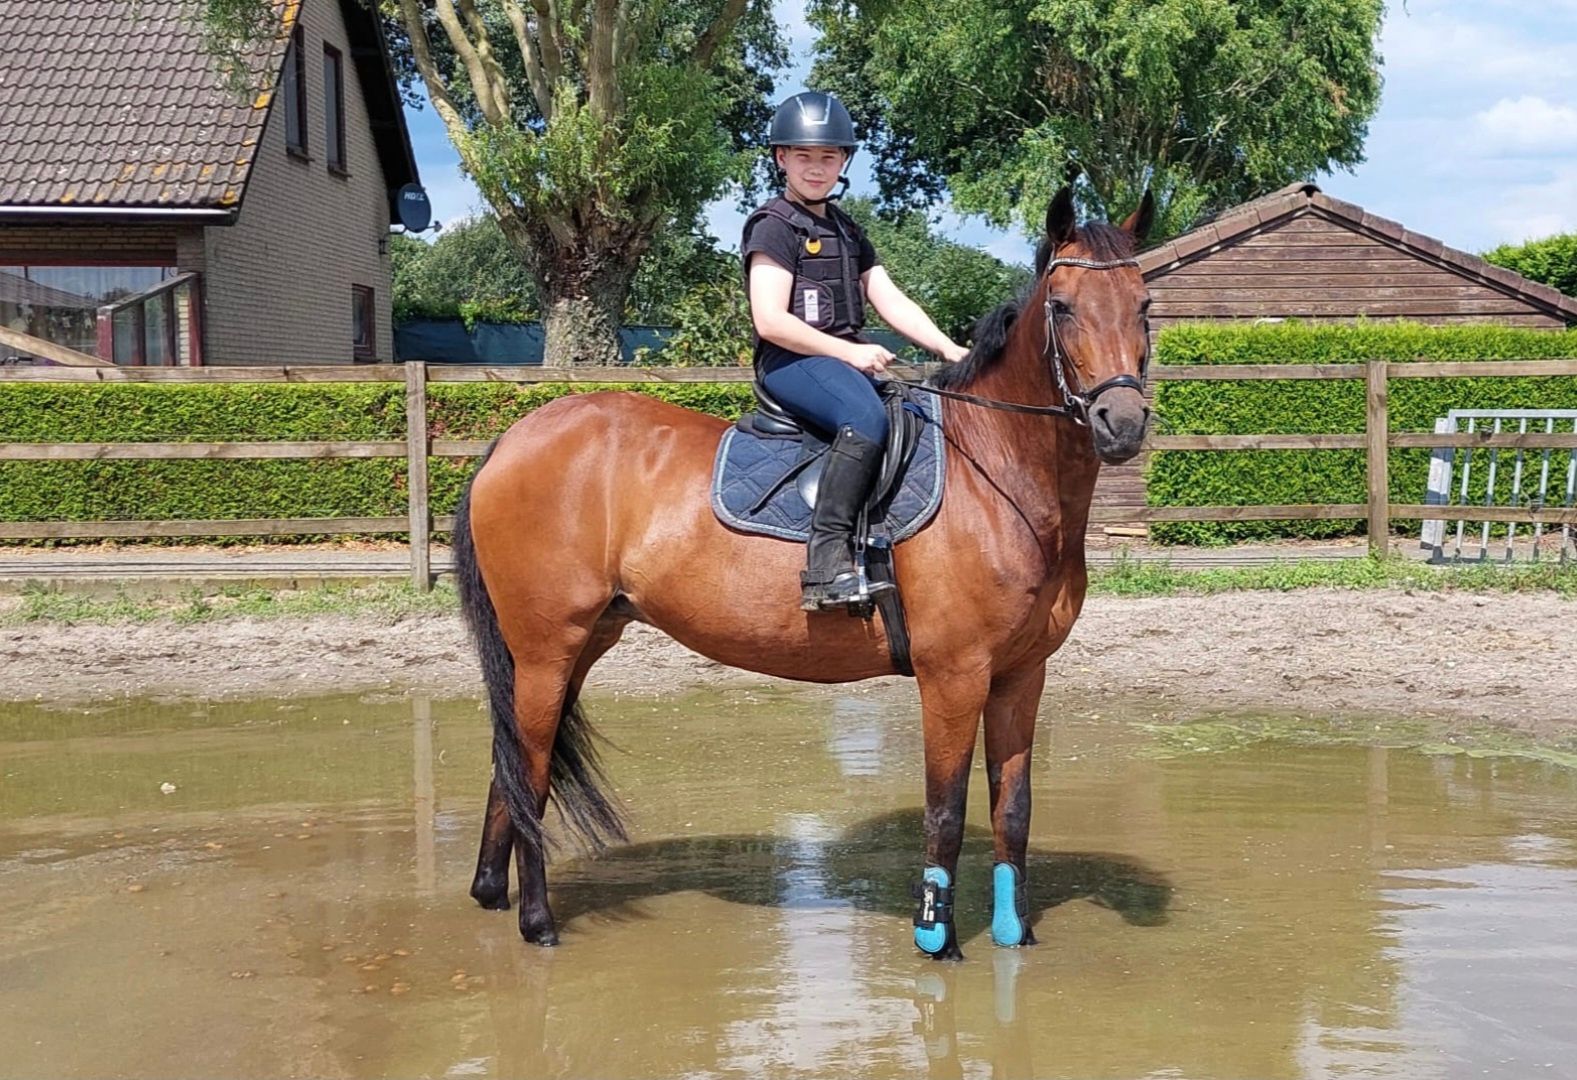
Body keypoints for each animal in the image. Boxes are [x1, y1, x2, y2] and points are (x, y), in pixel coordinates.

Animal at [451, 184, 1155, 960]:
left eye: (1143, 303)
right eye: (1061, 305)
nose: (1120, 421)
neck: (995, 472)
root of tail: (513, 439)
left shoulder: (1020, 675)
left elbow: (1015, 808)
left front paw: (1014, 931)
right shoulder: (954, 675)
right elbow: (944, 810)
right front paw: (935, 936)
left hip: (575, 644)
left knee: (516, 764)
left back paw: (491, 891)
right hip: (547, 647)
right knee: (529, 766)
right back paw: (536, 920)